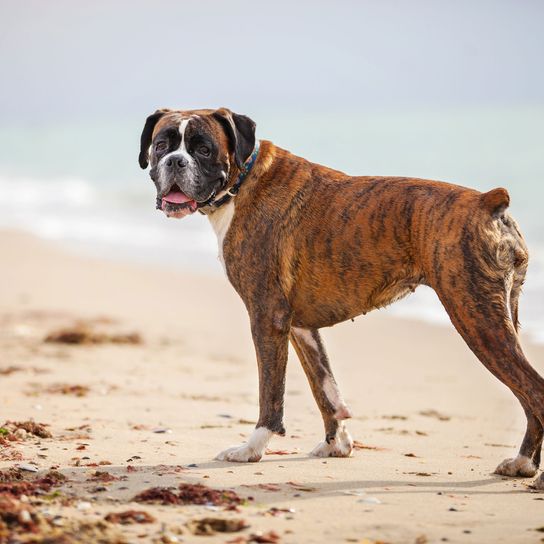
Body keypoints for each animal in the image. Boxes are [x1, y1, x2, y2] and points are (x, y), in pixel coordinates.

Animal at [139, 106, 544, 488]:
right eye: (161, 145)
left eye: (204, 149)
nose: (175, 161)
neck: (244, 178)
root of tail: (487, 201)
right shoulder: (299, 327)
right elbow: (325, 389)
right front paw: (338, 444)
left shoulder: (267, 319)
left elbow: (271, 394)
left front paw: (252, 449)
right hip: (502, 314)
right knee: (528, 398)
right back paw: (523, 464)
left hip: (477, 319)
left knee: (534, 391)